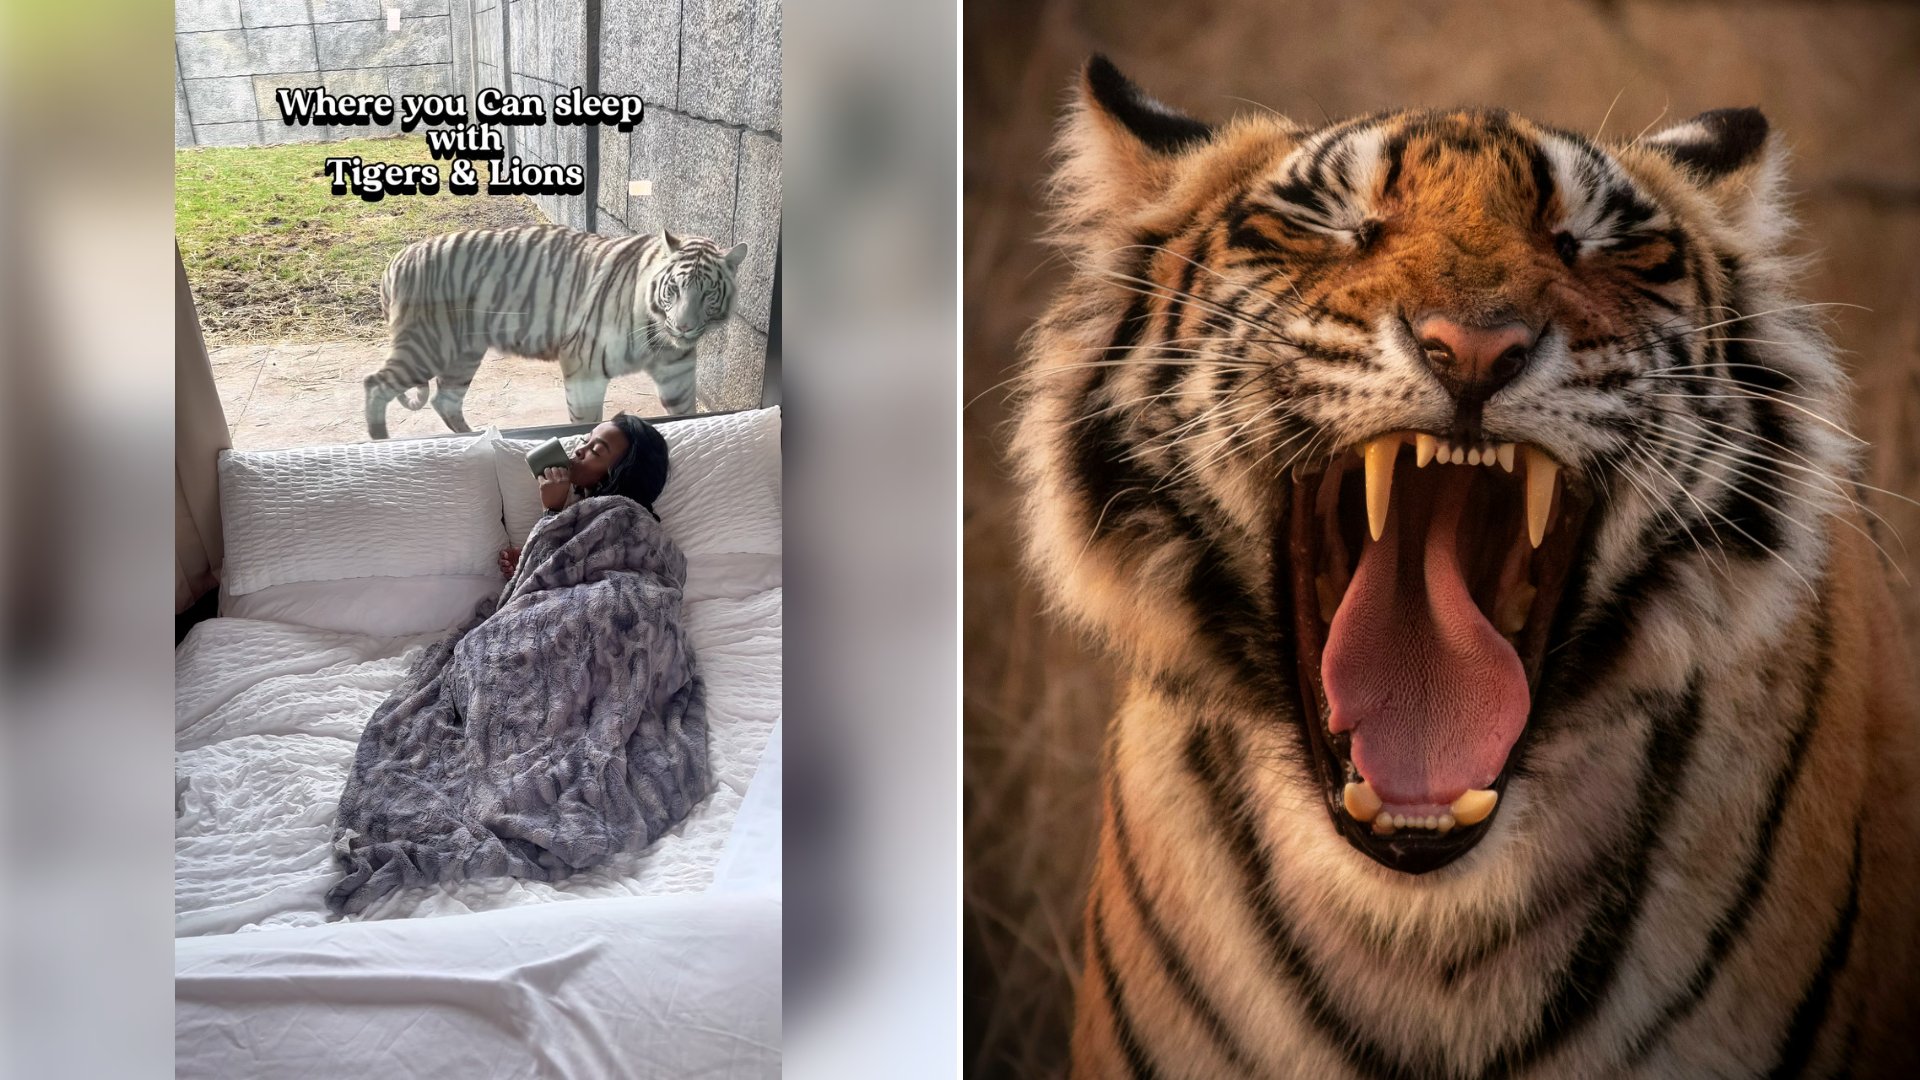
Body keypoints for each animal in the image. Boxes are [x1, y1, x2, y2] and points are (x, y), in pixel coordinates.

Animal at [363, 224, 746, 439]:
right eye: (674, 289)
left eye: (708, 293)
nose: (683, 326)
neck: (660, 338)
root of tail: (396, 259)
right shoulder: (584, 366)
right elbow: (585, 420)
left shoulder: (676, 375)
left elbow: (686, 413)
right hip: (427, 345)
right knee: (375, 384)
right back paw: (380, 442)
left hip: (463, 353)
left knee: (445, 400)